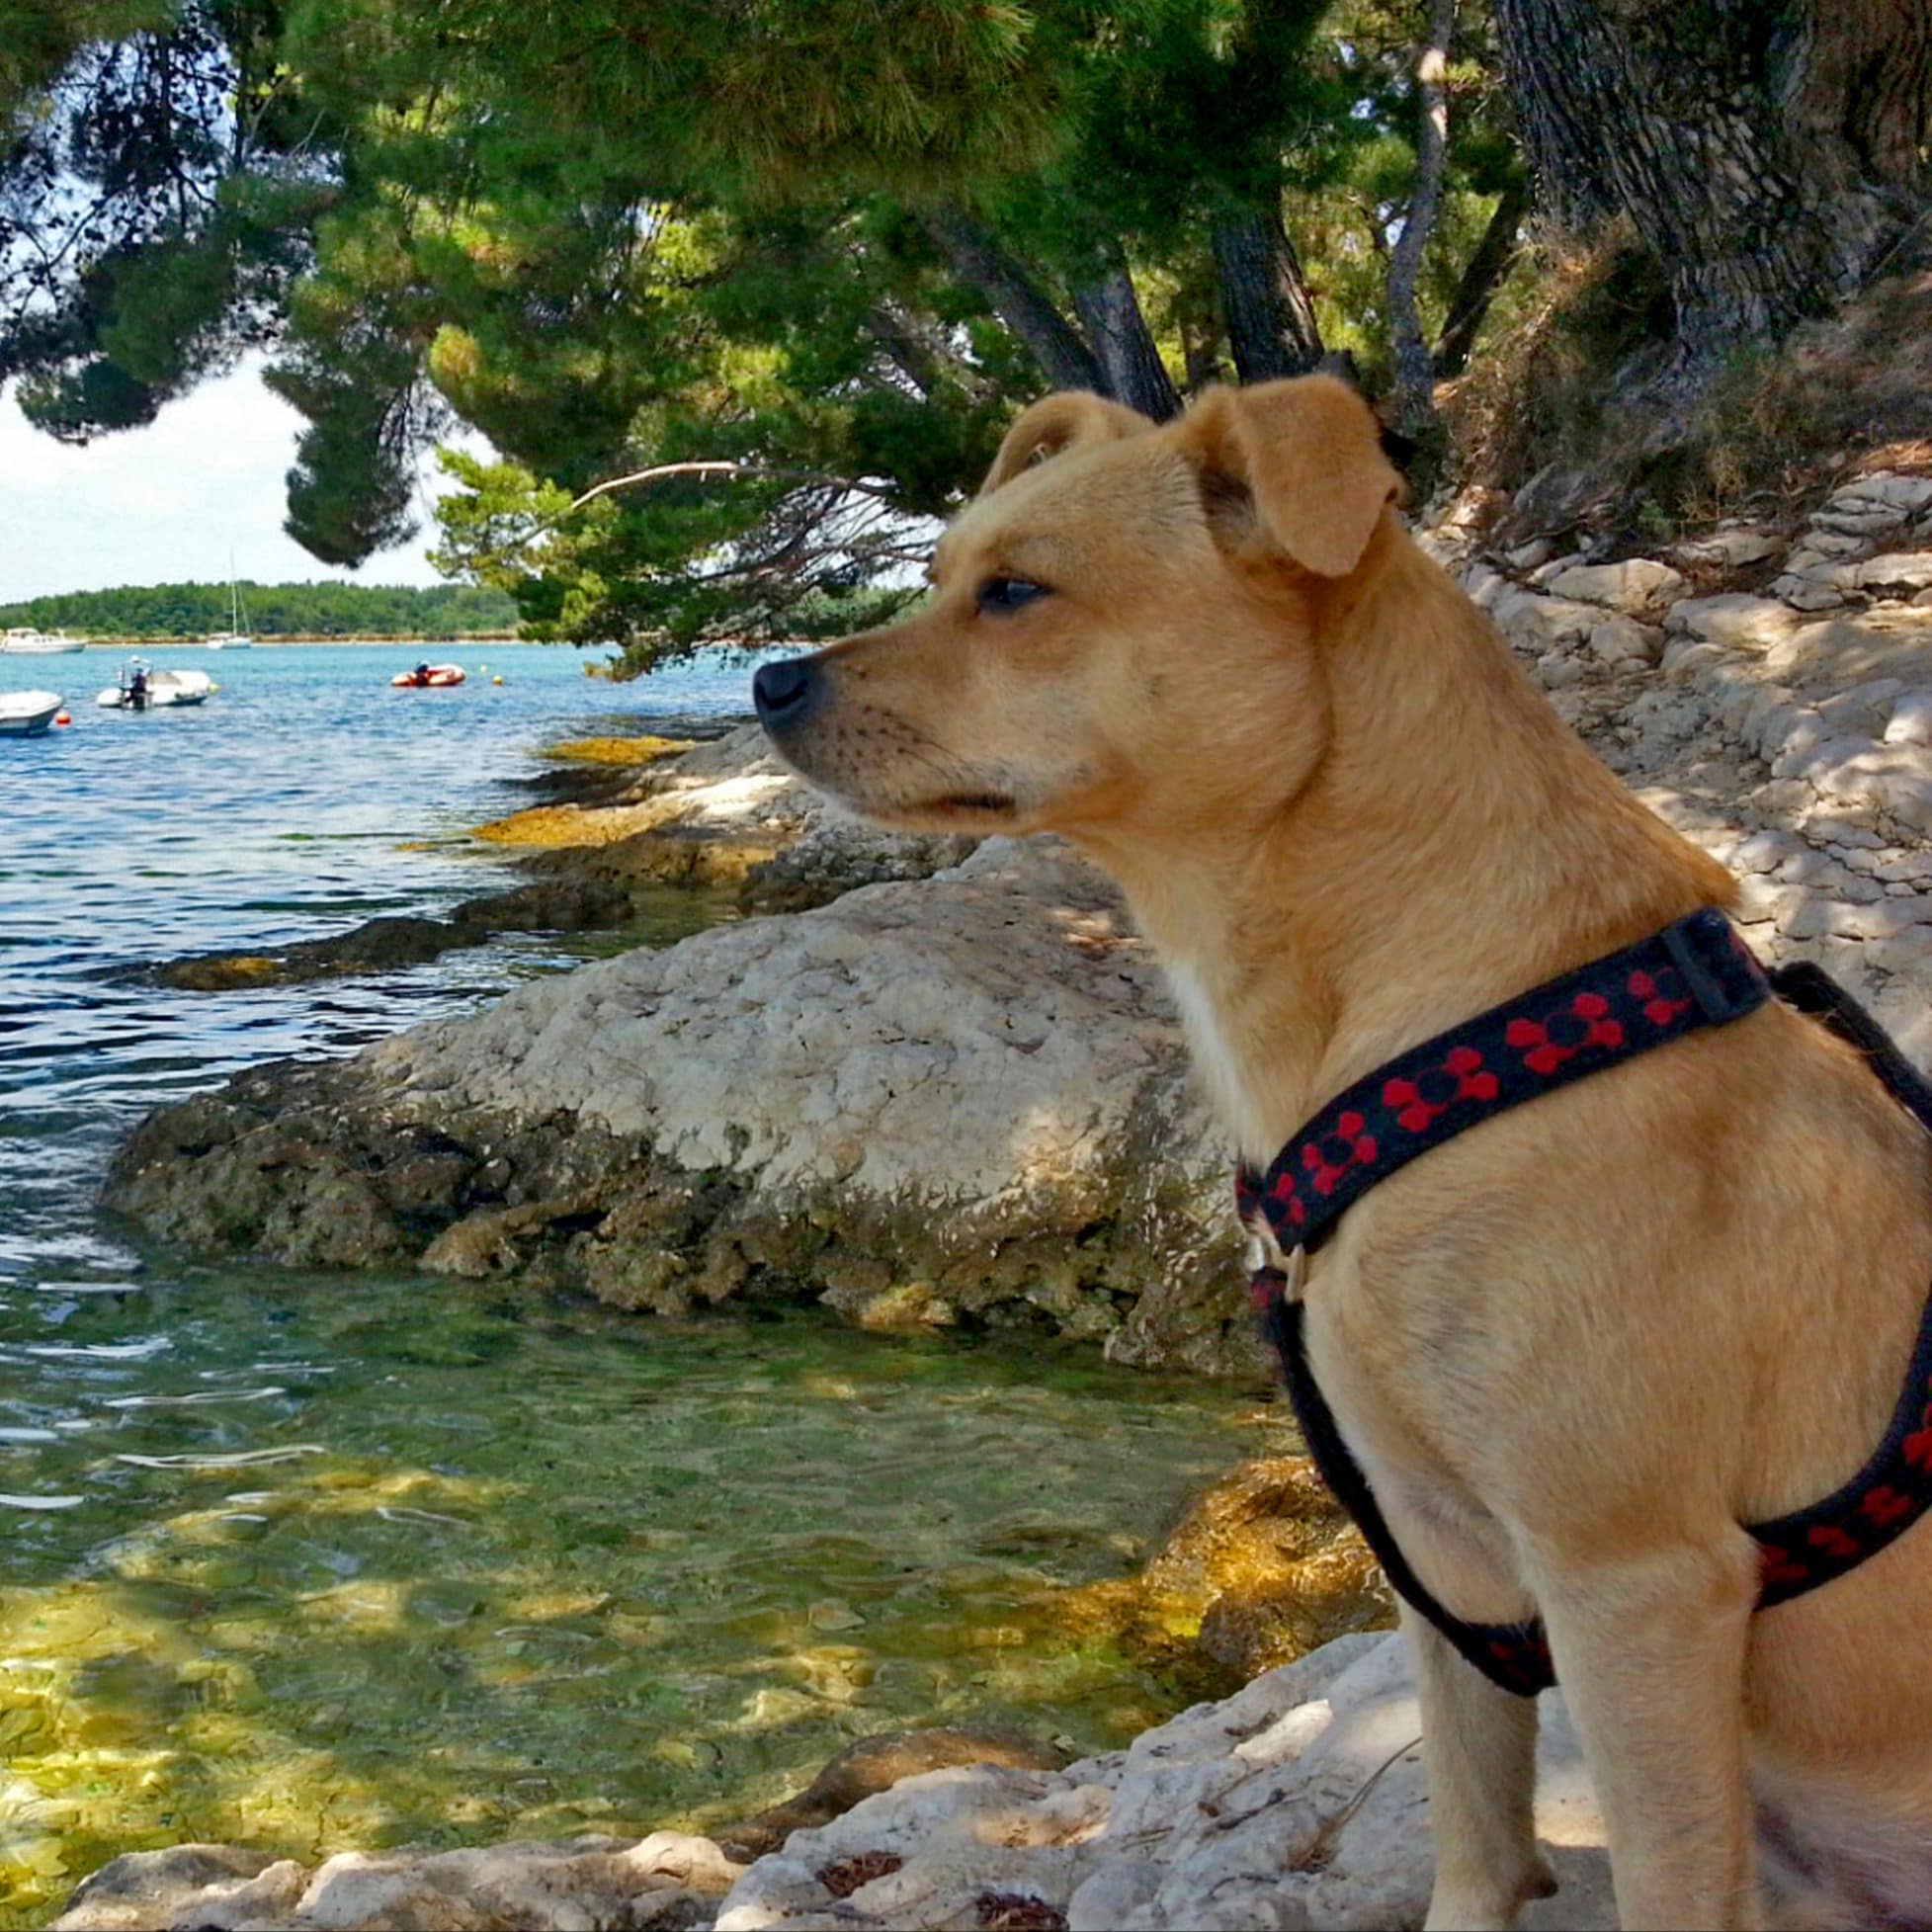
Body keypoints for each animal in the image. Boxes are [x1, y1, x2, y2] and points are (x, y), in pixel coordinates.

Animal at [749, 380, 1932, 1932]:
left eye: (1015, 591)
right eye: (944, 570)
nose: (768, 680)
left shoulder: (1635, 1582)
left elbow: (1664, 1877)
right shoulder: (1443, 1566)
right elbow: (1474, 1840)